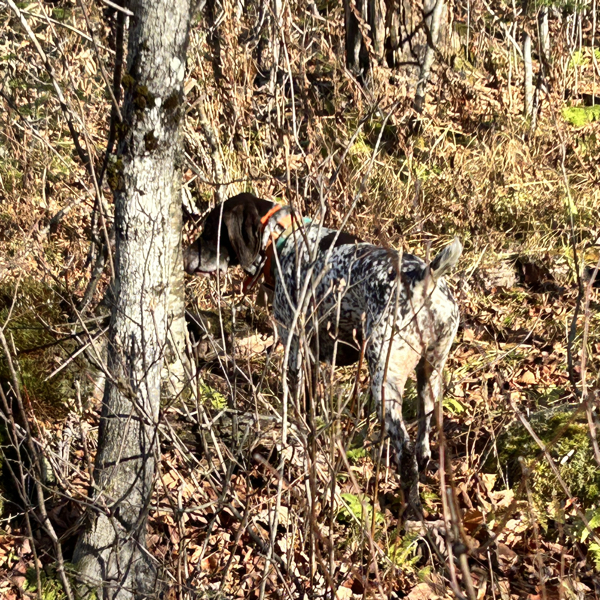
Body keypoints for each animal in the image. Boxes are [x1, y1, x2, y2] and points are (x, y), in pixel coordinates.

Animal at [185, 193, 462, 516]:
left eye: (209, 230)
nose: (184, 257)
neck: (283, 240)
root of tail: (424, 279)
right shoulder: (313, 353)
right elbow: (310, 404)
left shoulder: (294, 347)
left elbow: (296, 402)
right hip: (429, 375)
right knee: (424, 436)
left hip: (384, 380)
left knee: (405, 449)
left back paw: (412, 509)